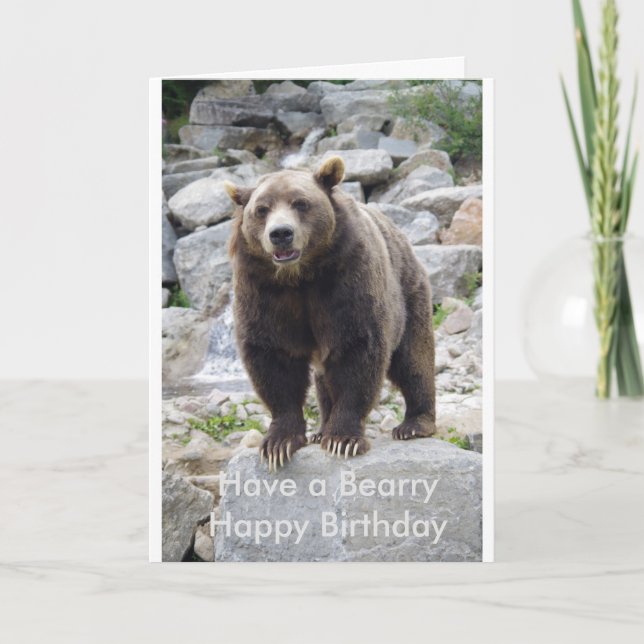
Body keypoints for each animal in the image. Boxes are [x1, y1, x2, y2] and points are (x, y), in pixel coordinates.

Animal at [224, 156, 436, 472]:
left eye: (300, 203)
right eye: (261, 209)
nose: (281, 234)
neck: (300, 276)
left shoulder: (346, 279)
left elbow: (356, 350)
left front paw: (343, 439)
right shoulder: (262, 290)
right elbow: (273, 357)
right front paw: (278, 444)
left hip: (409, 294)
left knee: (413, 359)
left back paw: (415, 424)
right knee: (324, 378)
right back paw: (320, 429)